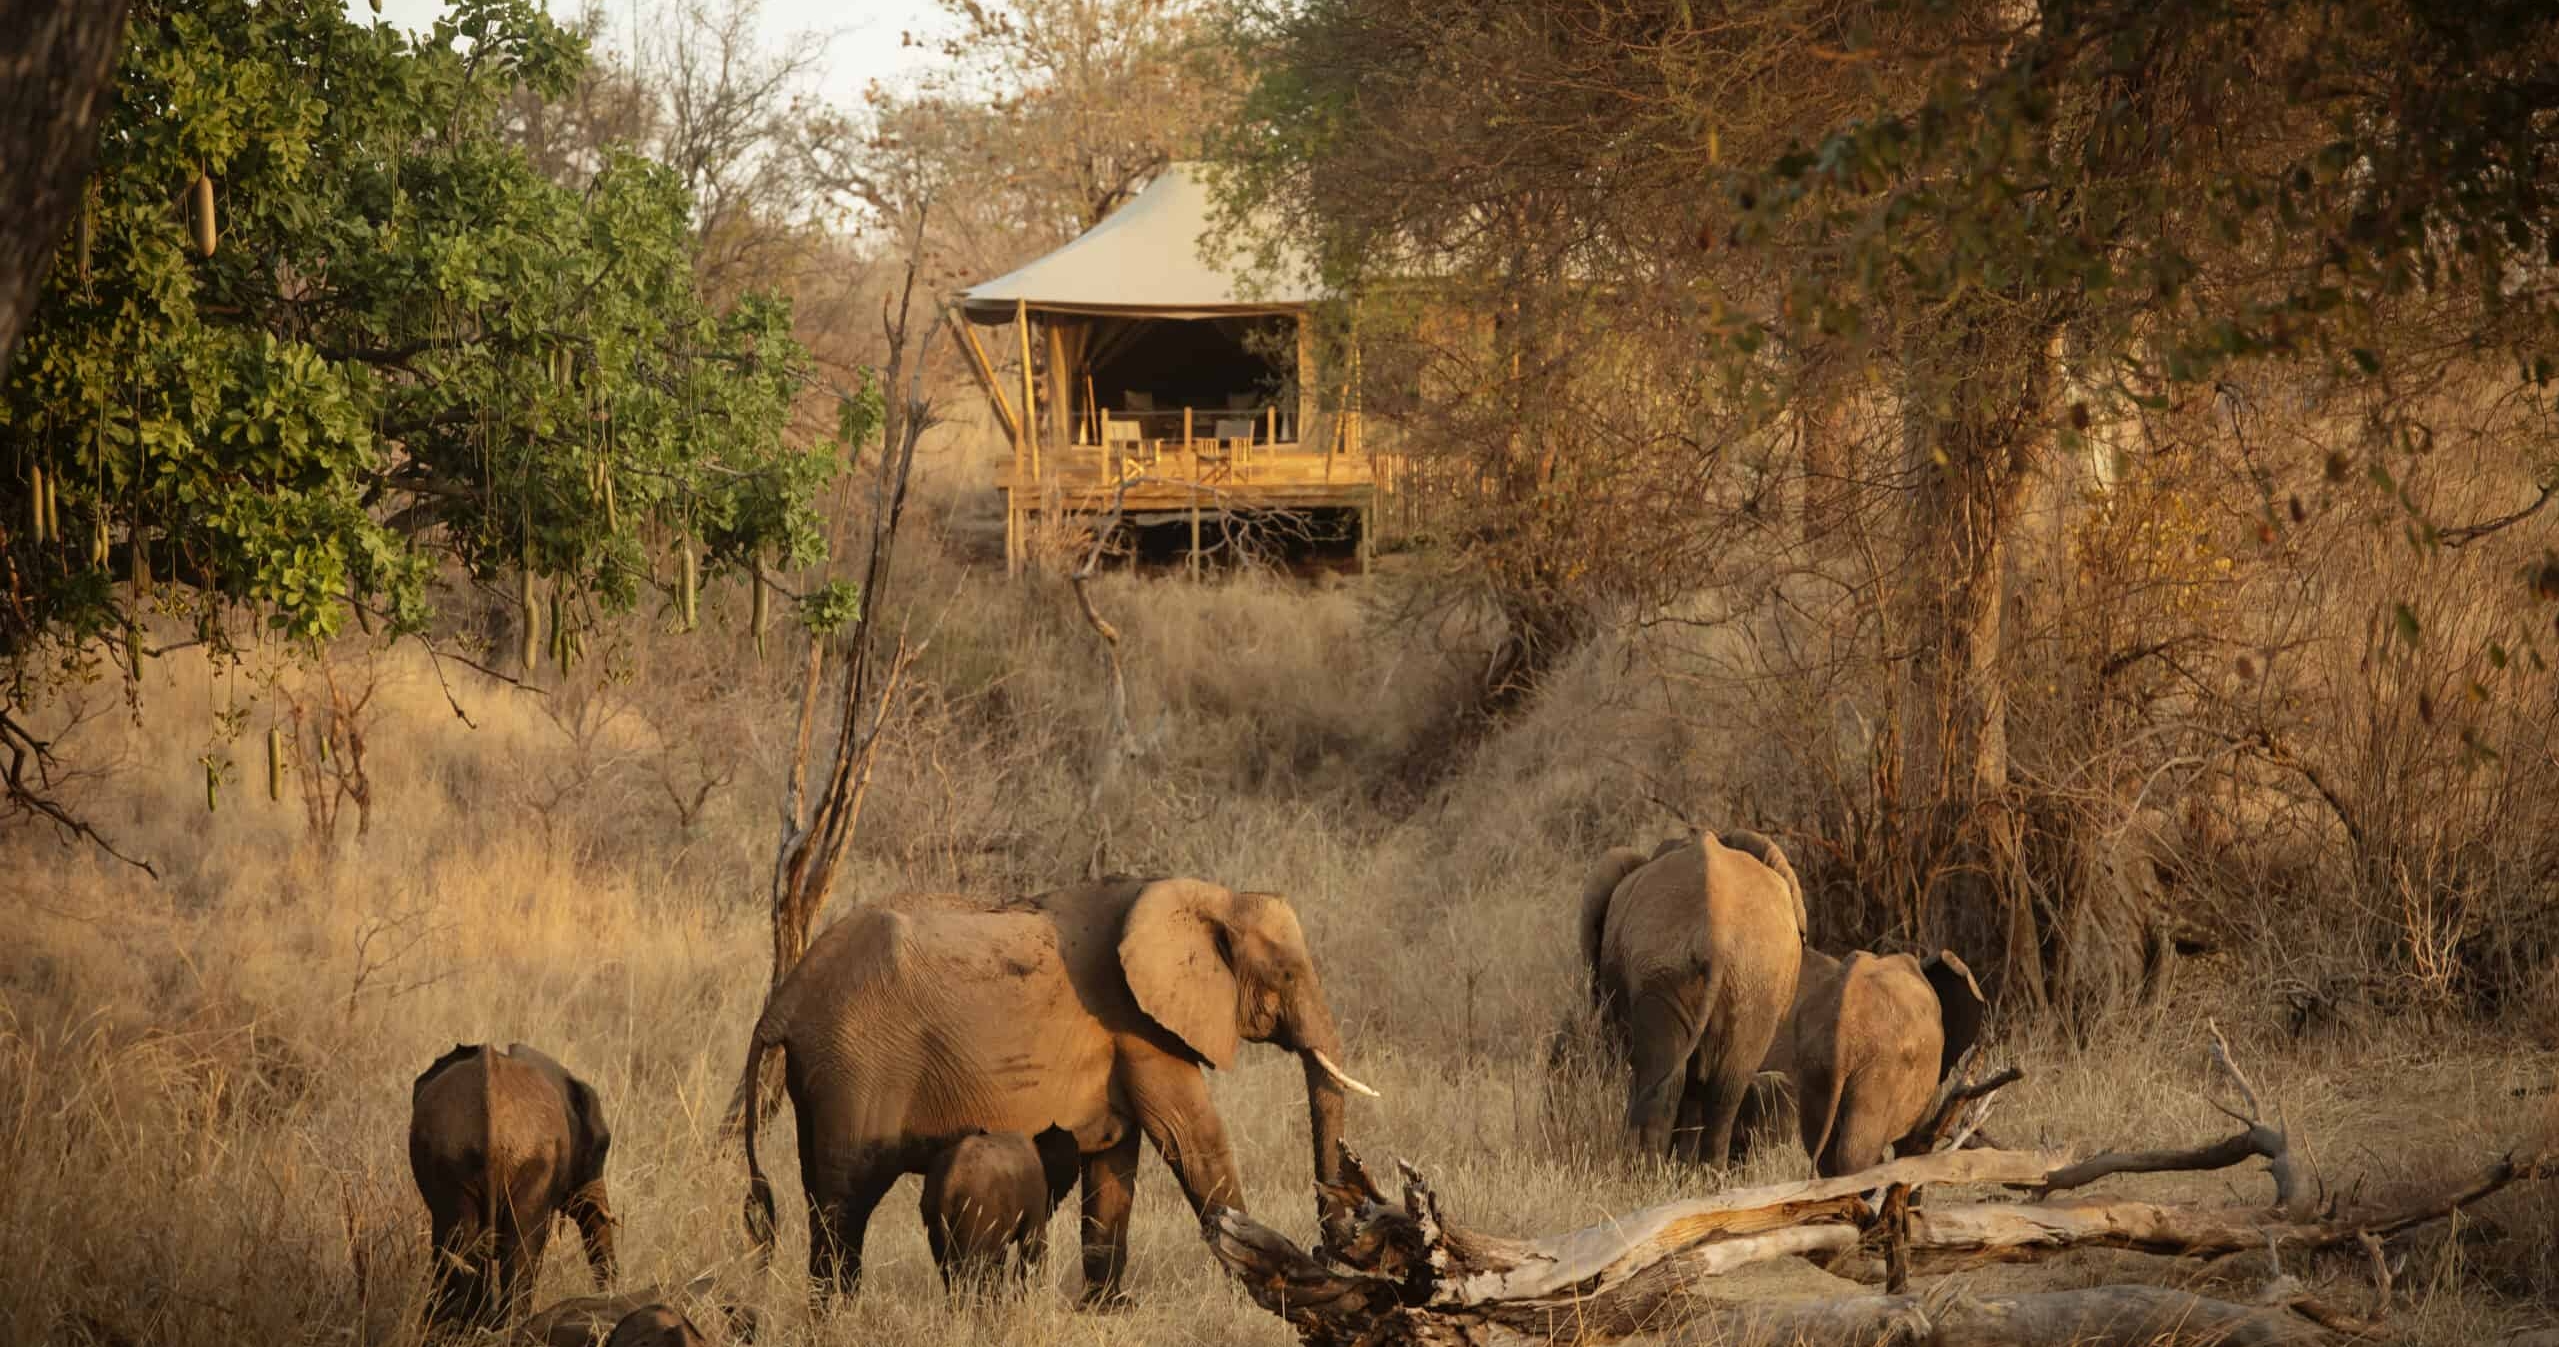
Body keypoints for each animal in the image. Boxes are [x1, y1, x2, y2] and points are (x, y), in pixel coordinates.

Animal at [920, 1124, 1083, 1292]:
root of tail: (949, 1183)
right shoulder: (1036, 1194)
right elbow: (1033, 1247)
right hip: (974, 1214)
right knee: (968, 1269)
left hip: (933, 1213)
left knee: (950, 1273)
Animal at [1578, 830, 1807, 1164]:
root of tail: (1716, 935)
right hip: (1733, 980)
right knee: (1722, 1088)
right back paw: (1700, 1172)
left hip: (1687, 974)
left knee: (1672, 1082)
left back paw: (1650, 1172)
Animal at [1771, 947, 1987, 1176]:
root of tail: (1842, 1024)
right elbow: (1916, 1140)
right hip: (1878, 1067)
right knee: (1856, 1150)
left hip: (1814, 1065)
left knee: (1819, 1146)